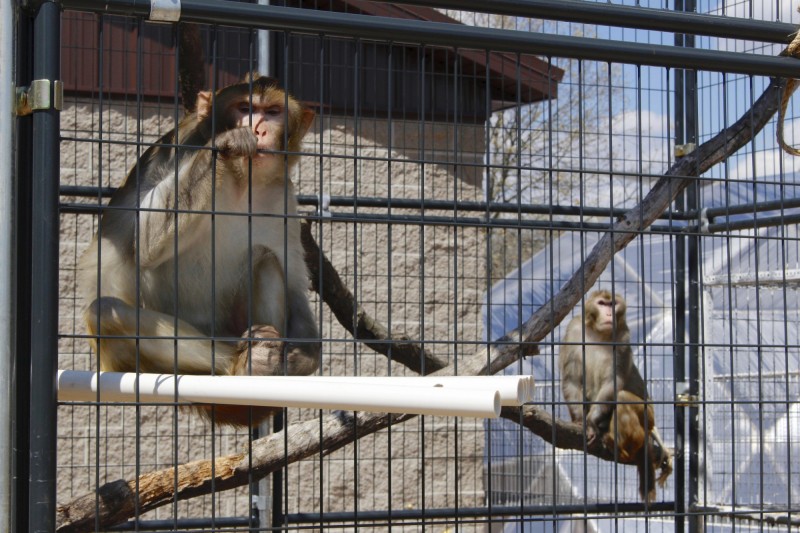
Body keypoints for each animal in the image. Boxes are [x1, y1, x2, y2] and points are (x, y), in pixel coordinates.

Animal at [78, 72, 320, 426]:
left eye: (273, 112)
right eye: (245, 108)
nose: (259, 129)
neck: (241, 181)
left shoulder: (283, 196)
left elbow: (293, 283)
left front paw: (304, 357)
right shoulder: (177, 148)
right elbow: (143, 242)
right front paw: (227, 144)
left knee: (265, 260)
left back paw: (263, 364)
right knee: (106, 312)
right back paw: (242, 365)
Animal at [560, 290, 672, 502]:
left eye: (613, 304)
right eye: (602, 303)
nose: (609, 313)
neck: (598, 332)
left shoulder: (622, 337)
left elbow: (613, 382)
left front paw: (591, 422)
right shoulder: (573, 330)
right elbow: (572, 379)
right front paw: (580, 420)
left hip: (648, 417)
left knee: (622, 398)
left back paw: (620, 444)